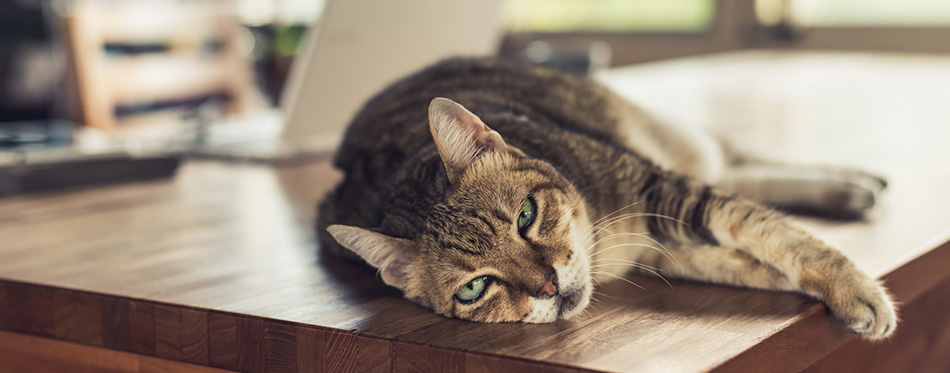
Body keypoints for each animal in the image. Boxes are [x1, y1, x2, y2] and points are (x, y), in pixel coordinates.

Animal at [320, 57, 900, 338]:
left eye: (526, 216)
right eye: (474, 288)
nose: (549, 286)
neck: (608, 244)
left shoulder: (659, 187)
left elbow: (772, 232)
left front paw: (858, 289)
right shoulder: (664, 244)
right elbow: (747, 258)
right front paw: (837, 292)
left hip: (669, 138)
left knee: (735, 160)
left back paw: (856, 181)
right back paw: (853, 192)